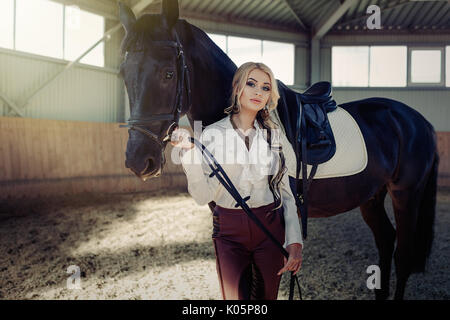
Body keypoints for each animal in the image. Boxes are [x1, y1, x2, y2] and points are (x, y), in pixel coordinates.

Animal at [118, 0, 438, 300]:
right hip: (371, 195)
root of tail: (418, 121)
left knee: (402, 255)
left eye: (168, 73)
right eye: (124, 73)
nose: (138, 159)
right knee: (385, 240)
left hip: (406, 194)